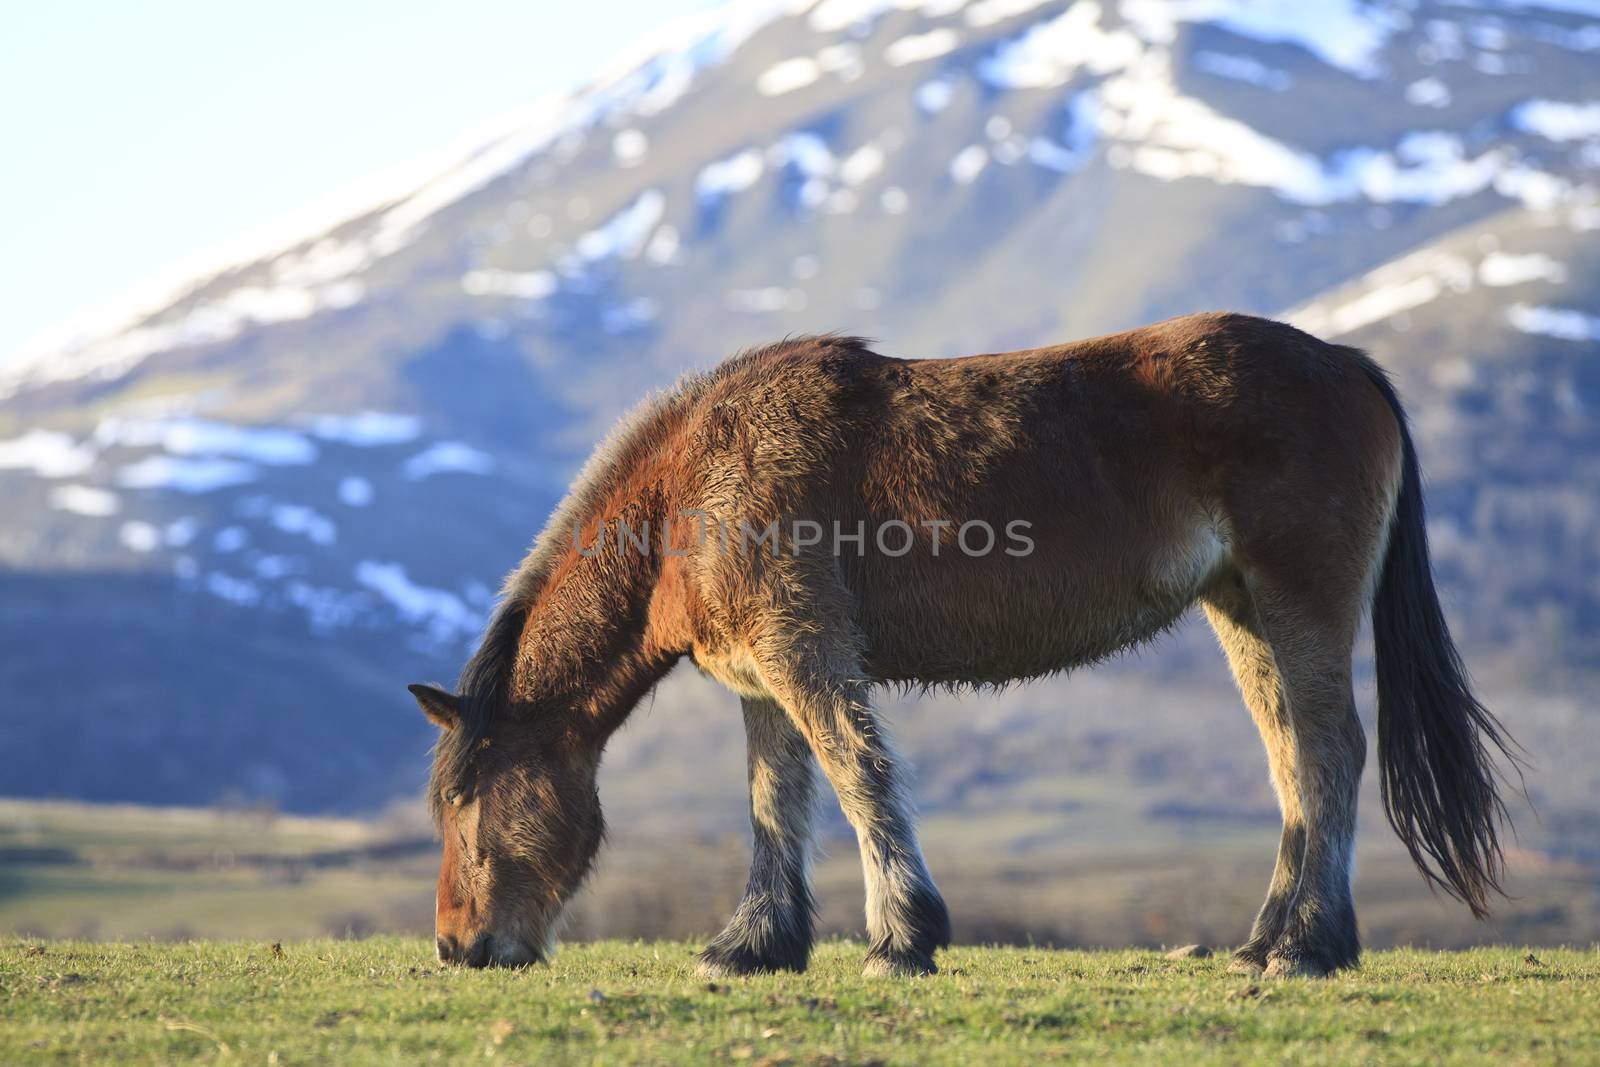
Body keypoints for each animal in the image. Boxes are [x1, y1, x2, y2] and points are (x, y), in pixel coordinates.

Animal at [409, 313, 1510, 979]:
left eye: (466, 802)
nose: (460, 944)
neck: (693, 486)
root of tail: (1348, 365)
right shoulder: (762, 680)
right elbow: (775, 802)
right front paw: (755, 943)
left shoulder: (804, 651)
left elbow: (856, 776)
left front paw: (901, 937)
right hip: (1241, 609)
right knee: (1291, 760)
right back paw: (1265, 938)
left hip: (1297, 601)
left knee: (1328, 753)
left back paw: (1310, 946)